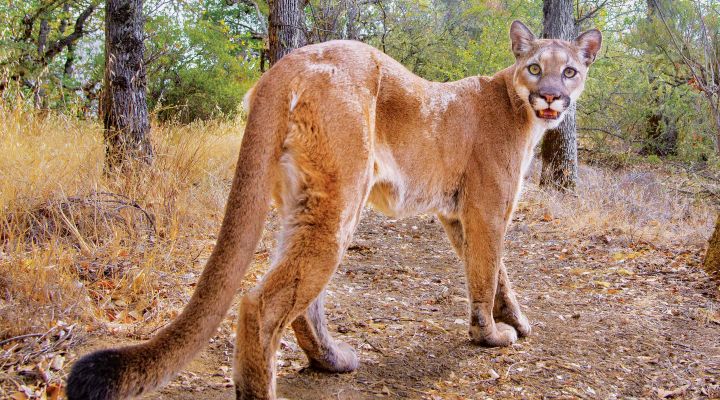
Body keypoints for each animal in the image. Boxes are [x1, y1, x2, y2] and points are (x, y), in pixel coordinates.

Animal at [67, 21, 600, 400]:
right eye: (535, 68)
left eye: (570, 70)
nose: (551, 95)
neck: (517, 107)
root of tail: (288, 62)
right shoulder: (486, 208)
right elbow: (486, 274)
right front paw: (489, 335)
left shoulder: (455, 215)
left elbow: (497, 273)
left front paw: (518, 322)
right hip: (340, 200)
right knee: (261, 303)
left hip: (306, 201)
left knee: (301, 300)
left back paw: (332, 360)